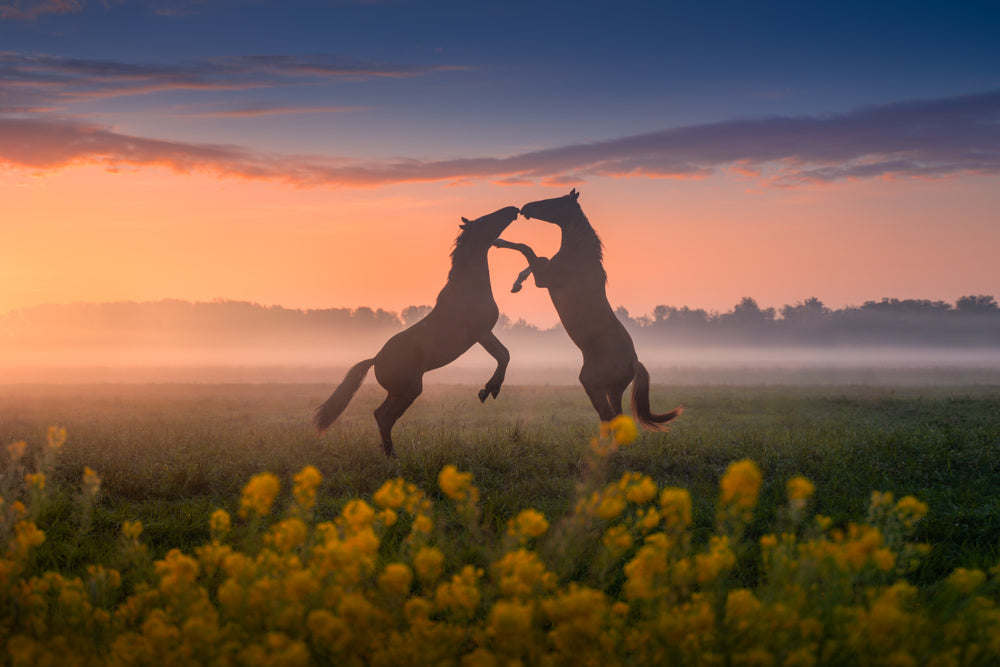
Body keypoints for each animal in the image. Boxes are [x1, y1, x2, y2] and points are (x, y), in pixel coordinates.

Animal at [314, 205, 520, 457]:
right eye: (485, 220)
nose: (512, 210)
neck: (469, 288)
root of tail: (375, 359)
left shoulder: (485, 334)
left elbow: (504, 354)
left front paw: (488, 390)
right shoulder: (481, 333)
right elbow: (503, 355)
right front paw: (490, 389)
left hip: (398, 392)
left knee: (379, 414)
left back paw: (388, 452)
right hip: (409, 390)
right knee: (384, 417)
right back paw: (393, 456)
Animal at [493, 189, 682, 430]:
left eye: (555, 201)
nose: (524, 208)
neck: (579, 257)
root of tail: (633, 362)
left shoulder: (544, 279)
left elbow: (527, 248)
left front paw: (498, 241)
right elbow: (537, 256)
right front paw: (516, 284)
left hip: (592, 385)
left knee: (608, 416)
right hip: (613, 391)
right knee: (615, 418)